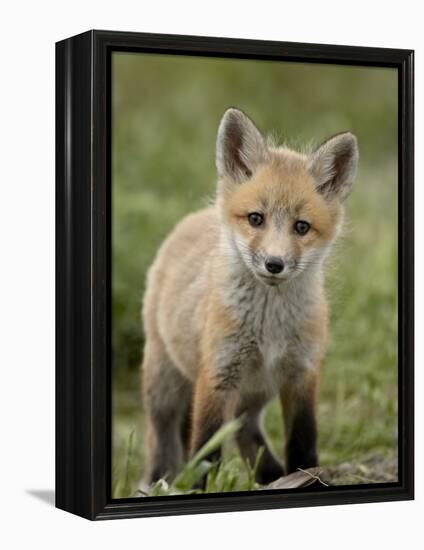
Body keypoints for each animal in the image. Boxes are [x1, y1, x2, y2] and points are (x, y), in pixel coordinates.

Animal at [142, 108, 358, 488]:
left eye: (302, 227)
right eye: (256, 218)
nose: (274, 264)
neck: (268, 325)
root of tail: (193, 218)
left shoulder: (302, 373)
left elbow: (303, 443)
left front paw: (307, 476)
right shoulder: (217, 373)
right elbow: (204, 450)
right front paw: (198, 490)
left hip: (255, 394)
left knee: (246, 431)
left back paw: (270, 476)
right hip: (164, 386)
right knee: (163, 439)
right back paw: (157, 484)